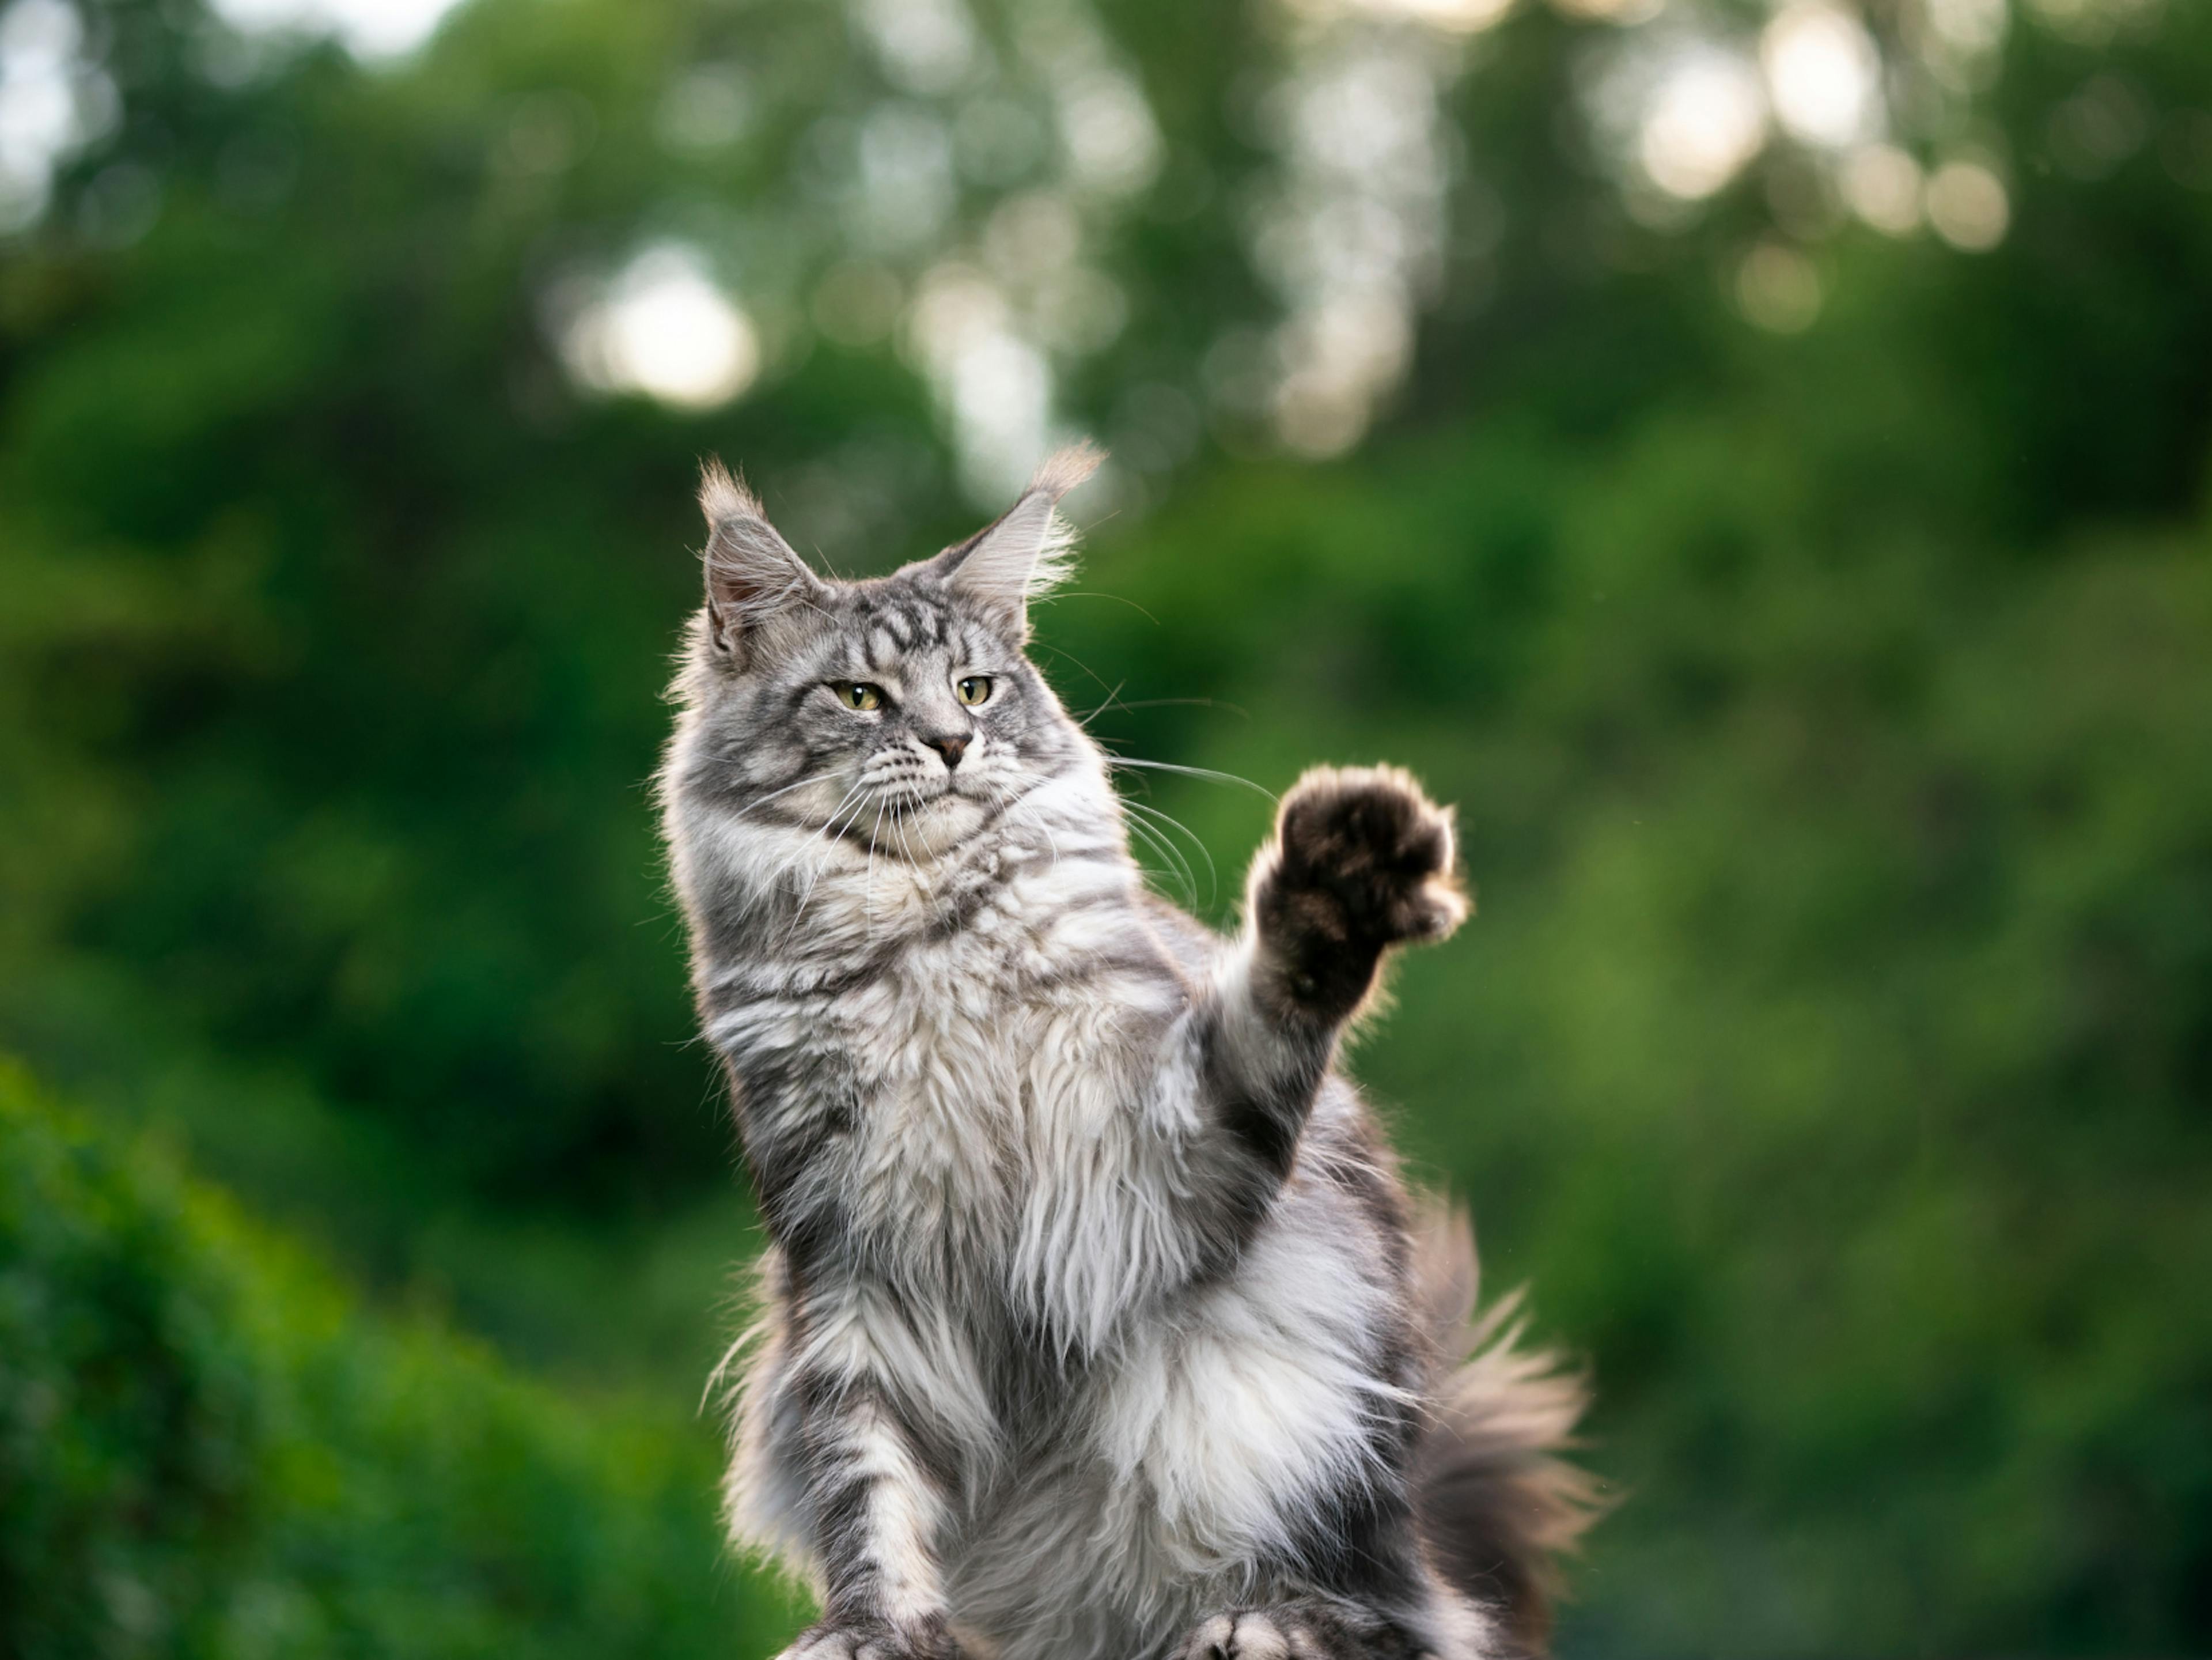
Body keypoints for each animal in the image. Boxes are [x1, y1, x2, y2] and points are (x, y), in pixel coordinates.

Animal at [650, 445, 1592, 1660]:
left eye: (976, 688)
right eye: (859, 697)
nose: (953, 745)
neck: (922, 937)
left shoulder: (1151, 1163)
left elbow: (1267, 1014)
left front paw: (1336, 885)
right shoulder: (847, 1258)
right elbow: (865, 1473)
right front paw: (871, 1627)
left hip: (1321, 1405)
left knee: (1403, 1614)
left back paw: (1262, 1625)